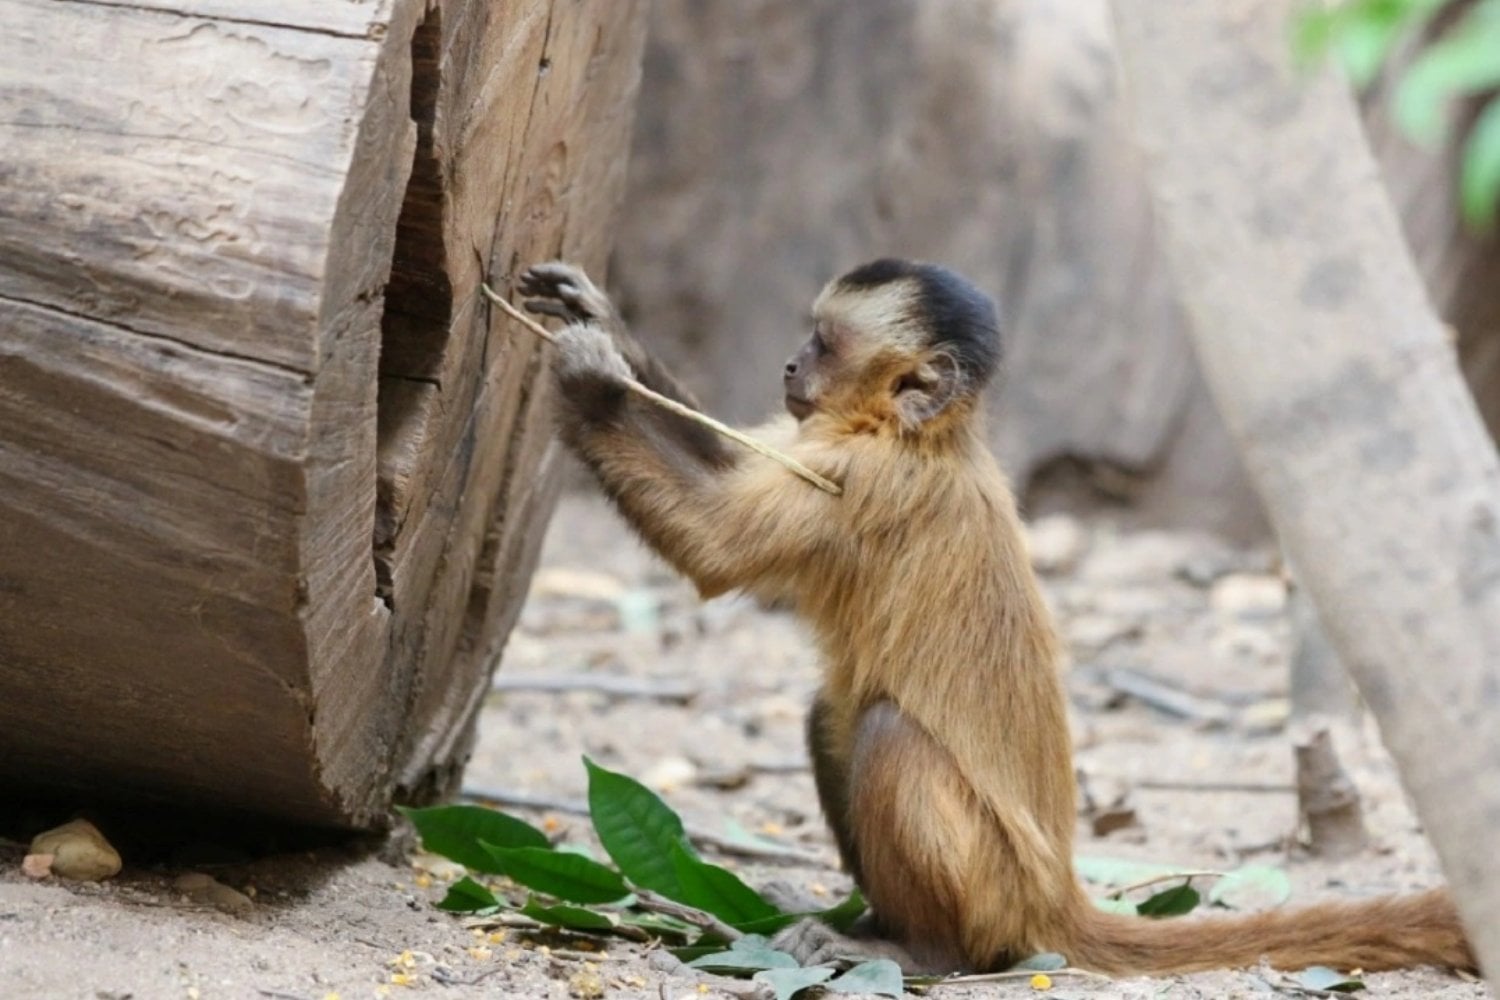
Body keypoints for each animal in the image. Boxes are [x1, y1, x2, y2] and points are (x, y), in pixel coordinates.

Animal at [517, 258, 1474, 977]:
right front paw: (607, 322)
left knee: (884, 733)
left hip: (992, 885)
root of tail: (1056, 898)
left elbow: (716, 551)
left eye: (822, 343)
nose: (789, 367)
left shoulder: (868, 480)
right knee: (830, 717)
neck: (921, 436)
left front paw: (590, 384)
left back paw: (925, 952)